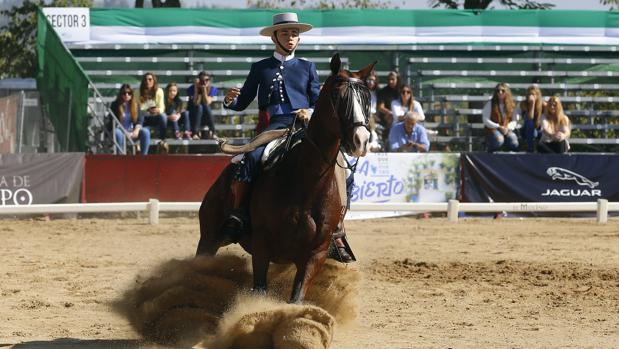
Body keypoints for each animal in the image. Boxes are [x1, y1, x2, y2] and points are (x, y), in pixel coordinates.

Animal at [196, 53, 376, 302]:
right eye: (338, 96)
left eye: (367, 98)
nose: (361, 140)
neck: (307, 182)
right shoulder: (261, 247)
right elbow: (260, 289)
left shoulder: (315, 254)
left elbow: (297, 297)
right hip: (209, 237)